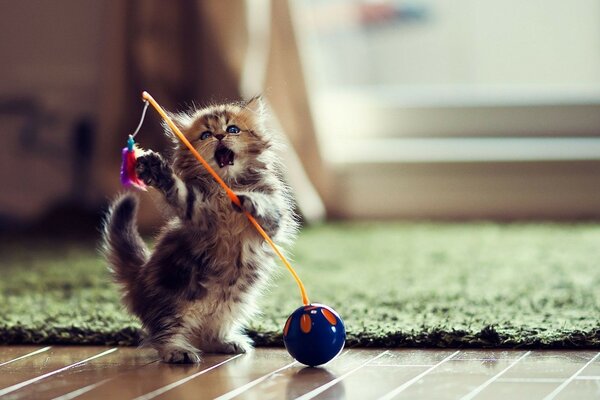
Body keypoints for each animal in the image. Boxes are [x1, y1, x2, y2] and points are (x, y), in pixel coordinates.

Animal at [105, 97, 300, 362]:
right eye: (206, 134)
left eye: (232, 129)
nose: (219, 136)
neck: (225, 184)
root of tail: (139, 277)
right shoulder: (199, 212)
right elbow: (179, 191)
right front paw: (157, 171)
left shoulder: (273, 219)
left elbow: (265, 207)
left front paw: (249, 200)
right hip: (172, 300)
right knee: (162, 334)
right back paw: (178, 351)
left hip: (233, 303)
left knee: (208, 334)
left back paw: (226, 342)